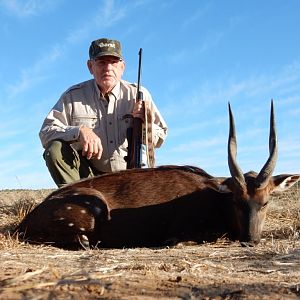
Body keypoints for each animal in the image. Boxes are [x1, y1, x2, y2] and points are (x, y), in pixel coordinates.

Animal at [16, 102, 300, 247]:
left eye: (265, 202)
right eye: (237, 201)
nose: (251, 240)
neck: (214, 199)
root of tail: (27, 220)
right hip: (93, 207)